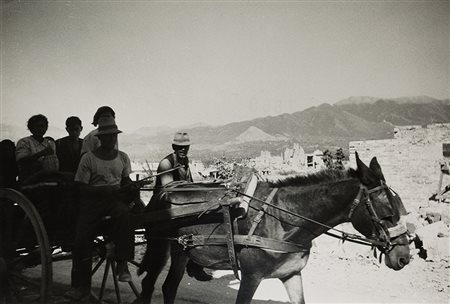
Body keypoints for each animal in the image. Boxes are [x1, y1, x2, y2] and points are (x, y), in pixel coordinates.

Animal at [134, 154, 412, 304]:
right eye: (387, 213)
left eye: (401, 206)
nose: (404, 257)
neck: (284, 220)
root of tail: (165, 189)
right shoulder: (251, 276)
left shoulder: (291, 274)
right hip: (161, 245)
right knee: (149, 283)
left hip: (182, 251)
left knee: (168, 287)